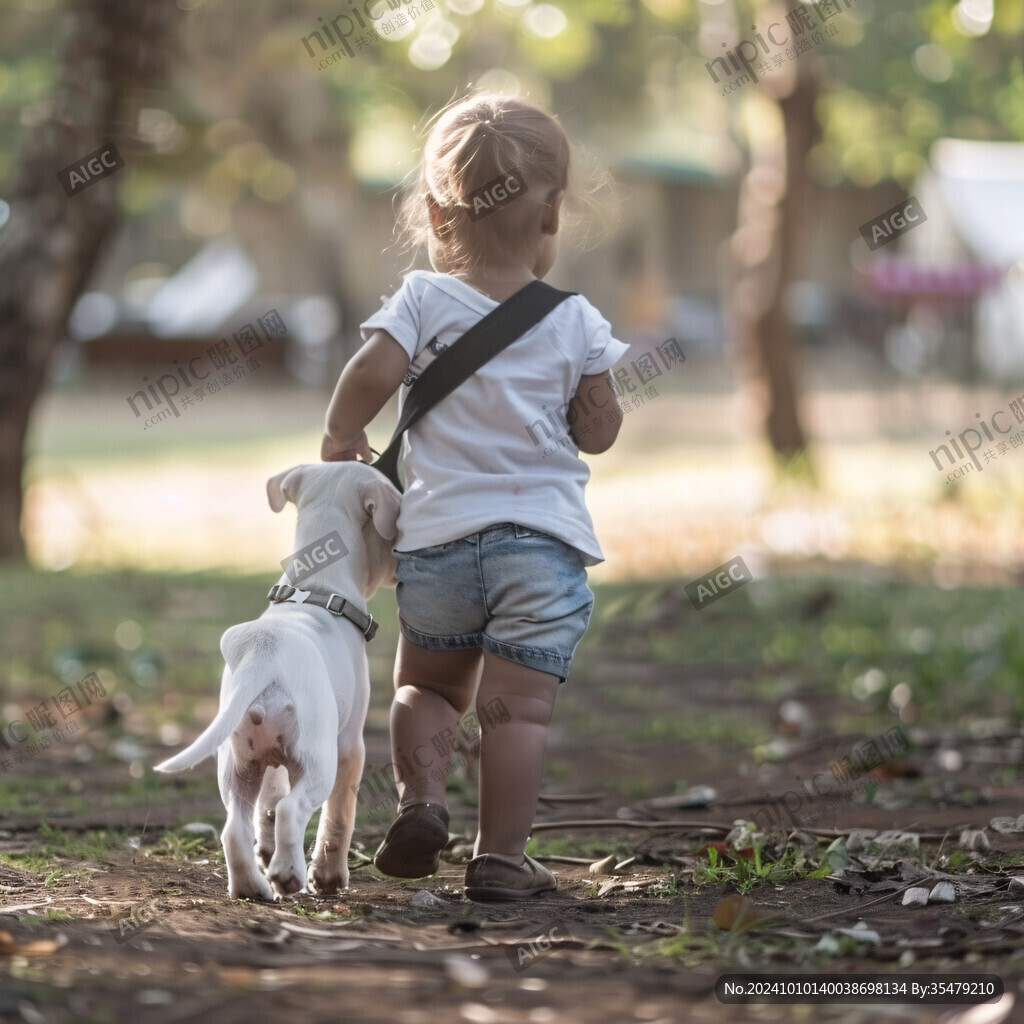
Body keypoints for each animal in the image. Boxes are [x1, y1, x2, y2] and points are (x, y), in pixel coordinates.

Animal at [155, 460, 399, 901]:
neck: (316, 588)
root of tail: (263, 656)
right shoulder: (349, 746)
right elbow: (339, 815)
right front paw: (329, 877)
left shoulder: (271, 762)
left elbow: (266, 808)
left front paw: (268, 853)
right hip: (318, 760)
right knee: (291, 809)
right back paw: (289, 875)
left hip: (238, 765)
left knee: (235, 828)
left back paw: (253, 885)